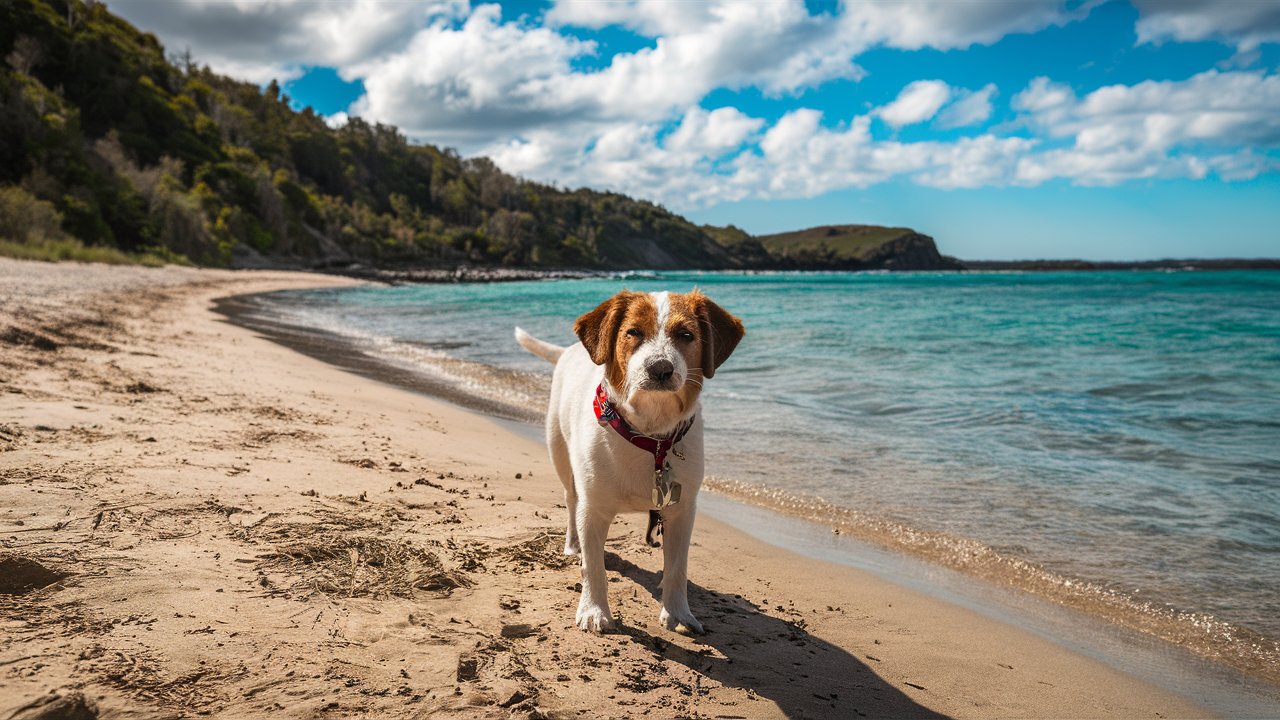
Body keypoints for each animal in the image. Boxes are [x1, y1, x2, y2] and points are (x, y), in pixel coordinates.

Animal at [514, 288, 747, 630]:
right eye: (633, 332)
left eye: (686, 335)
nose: (660, 368)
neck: (649, 437)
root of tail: (570, 350)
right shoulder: (594, 509)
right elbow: (593, 566)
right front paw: (594, 609)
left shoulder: (682, 511)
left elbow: (677, 568)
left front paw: (678, 613)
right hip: (559, 453)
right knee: (571, 500)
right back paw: (573, 545)